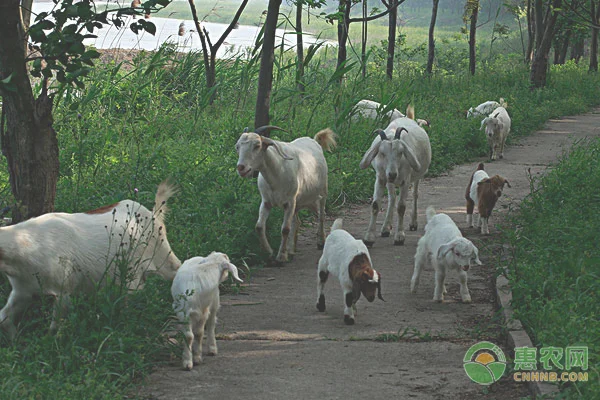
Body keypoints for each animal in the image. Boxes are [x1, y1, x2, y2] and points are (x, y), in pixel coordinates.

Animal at [0, 183, 180, 340]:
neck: (28, 244)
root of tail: (153, 214)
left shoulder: (64, 290)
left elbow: (55, 327)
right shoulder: (23, 289)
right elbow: (4, 317)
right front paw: (15, 340)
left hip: (163, 255)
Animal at [236, 125, 338, 262]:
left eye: (257, 145)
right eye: (237, 146)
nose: (241, 168)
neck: (277, 173)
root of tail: (314, 140)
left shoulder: (289, 202)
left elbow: (285, 229)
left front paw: (281, 257)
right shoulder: (266, 202)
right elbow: (259, 226)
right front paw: (269, 252)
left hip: (322, 193)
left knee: (321, 215)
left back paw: (321, 242)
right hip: (298, 202)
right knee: (297, 221)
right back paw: (291, 249)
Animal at [358, 108, 434, 247]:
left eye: (401, 152)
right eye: (382, 153)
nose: (393, 174)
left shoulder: (405, 180)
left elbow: (401, 207)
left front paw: (399, 237)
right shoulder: (381, 178)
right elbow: (375, 205)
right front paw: (369, 238)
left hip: (417, 176)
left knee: (415, 194)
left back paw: (413, 223)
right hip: (389, 181)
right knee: (392, 197)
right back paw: (386, 228)